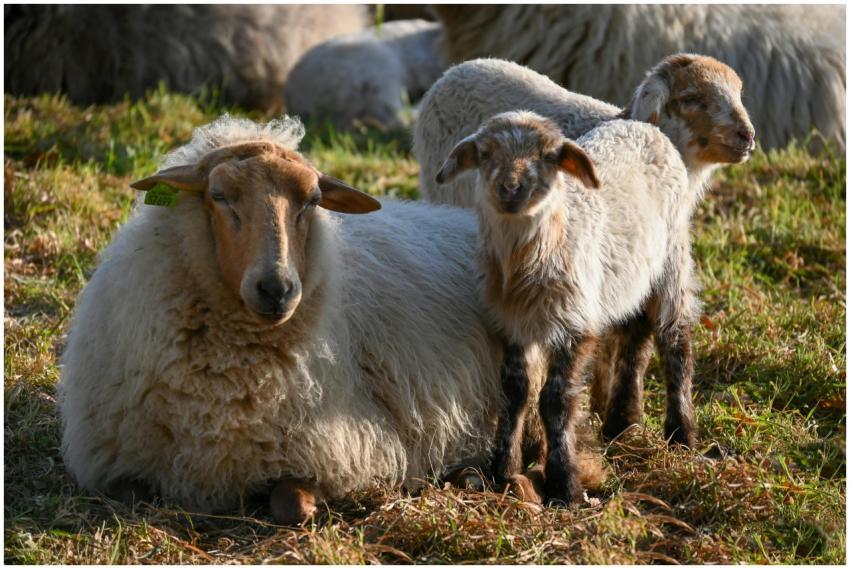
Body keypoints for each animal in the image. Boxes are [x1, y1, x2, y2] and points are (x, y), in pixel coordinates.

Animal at [435, 111, 700, 504]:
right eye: (484, 153)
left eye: (550, 156)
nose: (510, 188)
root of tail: (644, 126)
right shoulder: (512, 324)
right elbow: (514, 392)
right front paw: (503, 468)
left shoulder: (574, 323)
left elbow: (555, 401)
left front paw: (565, 485)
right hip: (635, 274)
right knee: (636, 333)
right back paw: (623, 423)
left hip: (673, 255)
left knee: (675, 340)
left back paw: (681, 434)